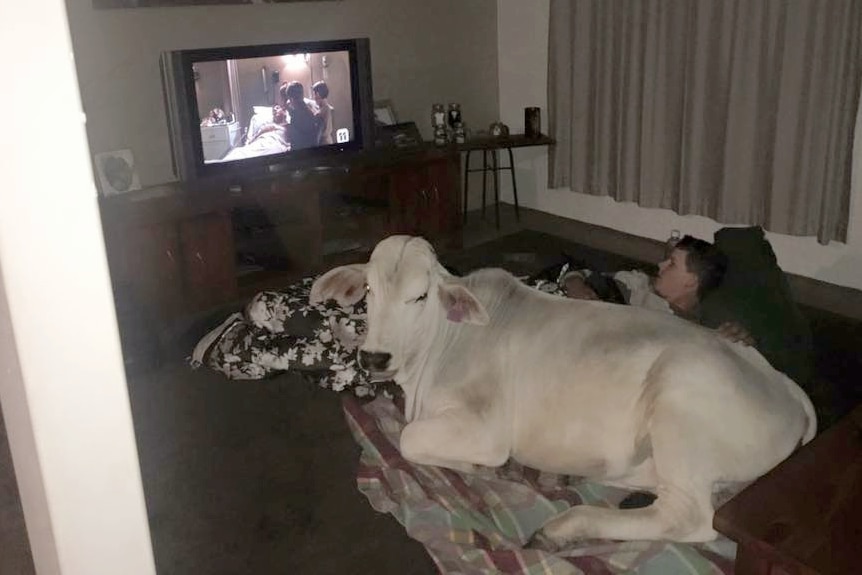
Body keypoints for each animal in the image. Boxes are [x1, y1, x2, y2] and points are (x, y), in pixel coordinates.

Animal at [310, 235, 816, 548]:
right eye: (369, 292)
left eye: (419, 297)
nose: (375, 358)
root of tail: (787, 388)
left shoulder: (485, 427)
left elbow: (410, 439)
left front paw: (481, 467)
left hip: (680, 397)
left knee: (689, 517)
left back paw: (563, 527)